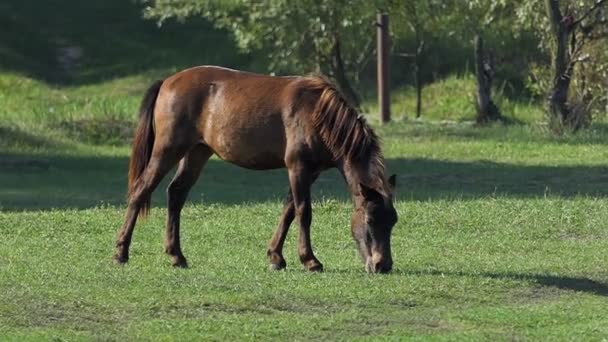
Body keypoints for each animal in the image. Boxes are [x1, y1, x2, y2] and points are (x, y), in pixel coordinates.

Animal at [113, 66, 400, 272]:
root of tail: (167, 82)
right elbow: (303, 212)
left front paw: (276, 257)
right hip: (168, 149)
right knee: (141, 190)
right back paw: (121, 252)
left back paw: (176, 255)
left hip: (197, 152)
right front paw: (310, 260)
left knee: (176, 194)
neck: (317, 113)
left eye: (393, 221)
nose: (382, 265)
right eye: (370, 220)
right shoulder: (298, 168)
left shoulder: (310, 172)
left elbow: (288, 211)